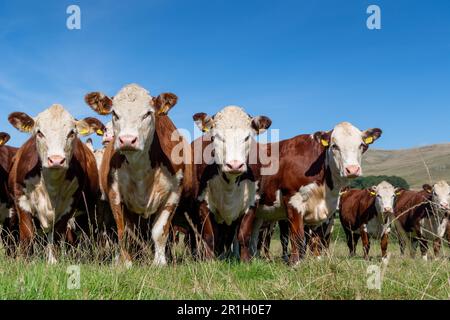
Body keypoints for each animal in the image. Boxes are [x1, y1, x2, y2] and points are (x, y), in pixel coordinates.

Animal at [8, 105, 103, 262]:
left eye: (71, 133)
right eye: (39, 132)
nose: (56, 160)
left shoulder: (69, 205)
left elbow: (57, 234)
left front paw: (53, 261)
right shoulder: (21, 200)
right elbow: (27, 234)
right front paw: (23, 260)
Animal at [84, 84, 188, 266]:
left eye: (148, 113)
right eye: (114, 113)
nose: (127, 140)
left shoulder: (174, 194)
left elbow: (160, 231)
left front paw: (159, 263)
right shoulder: (114, 194)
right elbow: (123, 231)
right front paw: (126, 263)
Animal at [189, 106, 270, 262]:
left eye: (247, 137)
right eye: (215, 137)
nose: (234, 165)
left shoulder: (252, 203)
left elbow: (244, 236)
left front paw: (245, 262)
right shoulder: (202, 202)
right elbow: (209, 236)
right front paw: (209, 262)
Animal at [250, 122, 384, 264]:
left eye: (361, 145)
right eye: (334, 146)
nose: (352, 169)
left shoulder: (322, 211)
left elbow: (317, 239)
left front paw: (317, 258)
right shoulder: (293, 201)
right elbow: (297, 236)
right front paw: (296, 262)